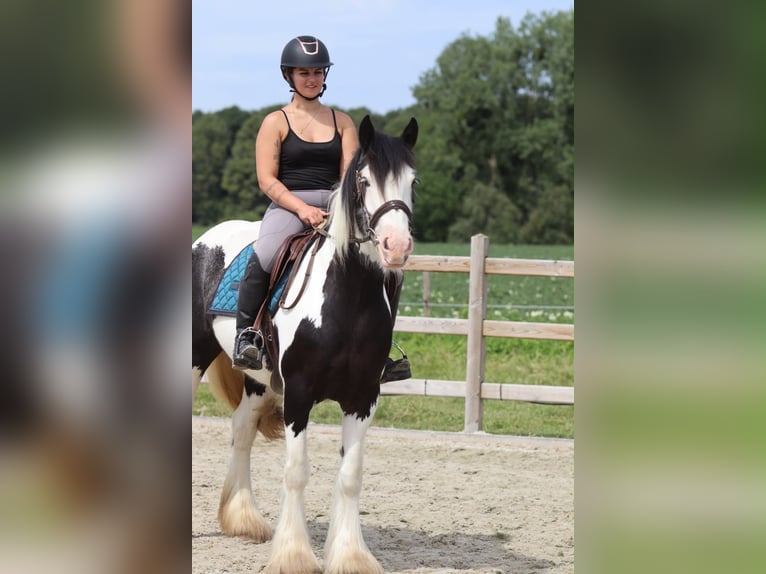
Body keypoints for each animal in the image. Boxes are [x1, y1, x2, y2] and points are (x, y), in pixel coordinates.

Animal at [192, 115, 418, 574]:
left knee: (241, 430)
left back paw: (245, 520)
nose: (397, 246)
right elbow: (296, 472)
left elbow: (350, 476)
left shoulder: (363, 398)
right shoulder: (298, 393)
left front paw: (351, 556)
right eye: (364, 180)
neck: (345, 299)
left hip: (258, 380)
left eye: (413, 181)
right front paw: (294, 554)